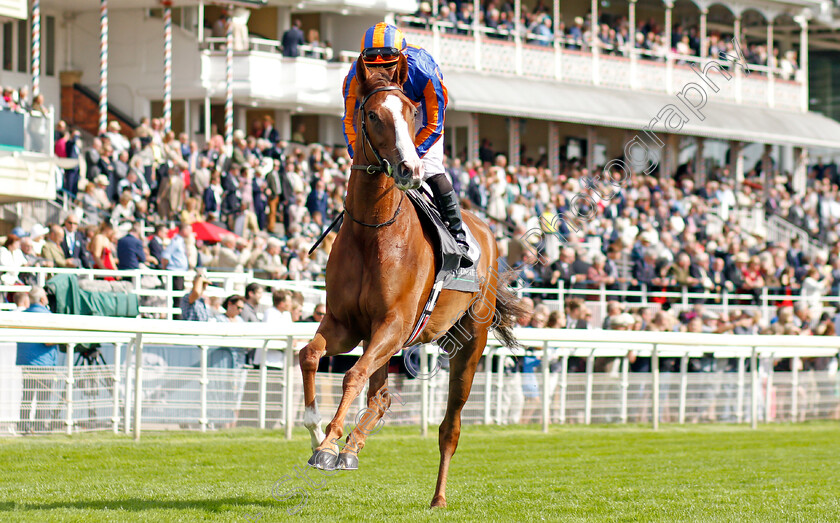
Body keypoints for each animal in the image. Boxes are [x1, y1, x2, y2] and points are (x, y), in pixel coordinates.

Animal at [300, 55, 524, 510]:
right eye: (371, 114)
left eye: (410, 112)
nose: (408, 168)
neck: (374, 230)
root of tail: (488, 232)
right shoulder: (347, 324)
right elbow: (311, 354)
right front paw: (318, 434)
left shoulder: (395, 323)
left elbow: (352, 376)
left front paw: (329, 445)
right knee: (381, 395)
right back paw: (353, 449)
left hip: (468, 343)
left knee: (449, 426)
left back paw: (438, 497)